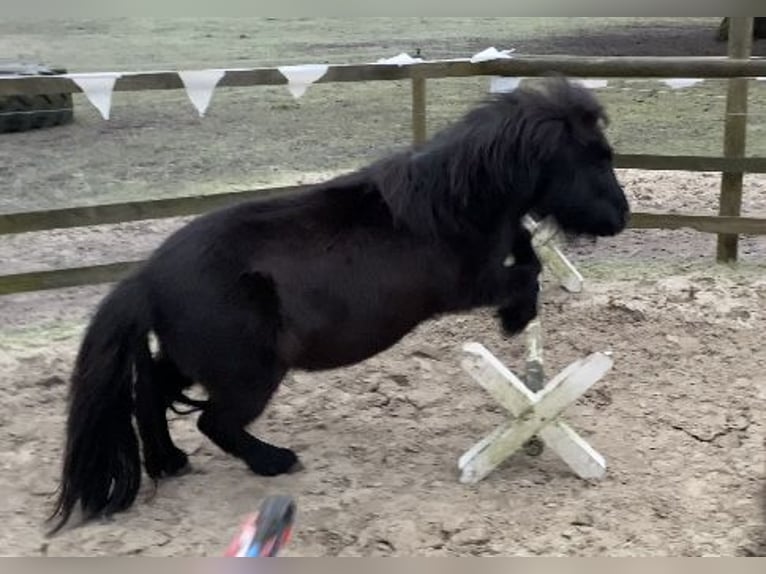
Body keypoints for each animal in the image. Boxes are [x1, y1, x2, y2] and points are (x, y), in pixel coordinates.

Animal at [51, 77, 632, 536]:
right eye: (594, 159)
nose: (621, 218)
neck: (449, 206)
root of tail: (146, 278)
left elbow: (528, 248)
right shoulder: (469, 286)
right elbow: (526, 276)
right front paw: (516, 320)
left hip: (192, 361)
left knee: (150, 392)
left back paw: (169, 462)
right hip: (248, 373)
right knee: (213, 422)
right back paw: (274, 461)